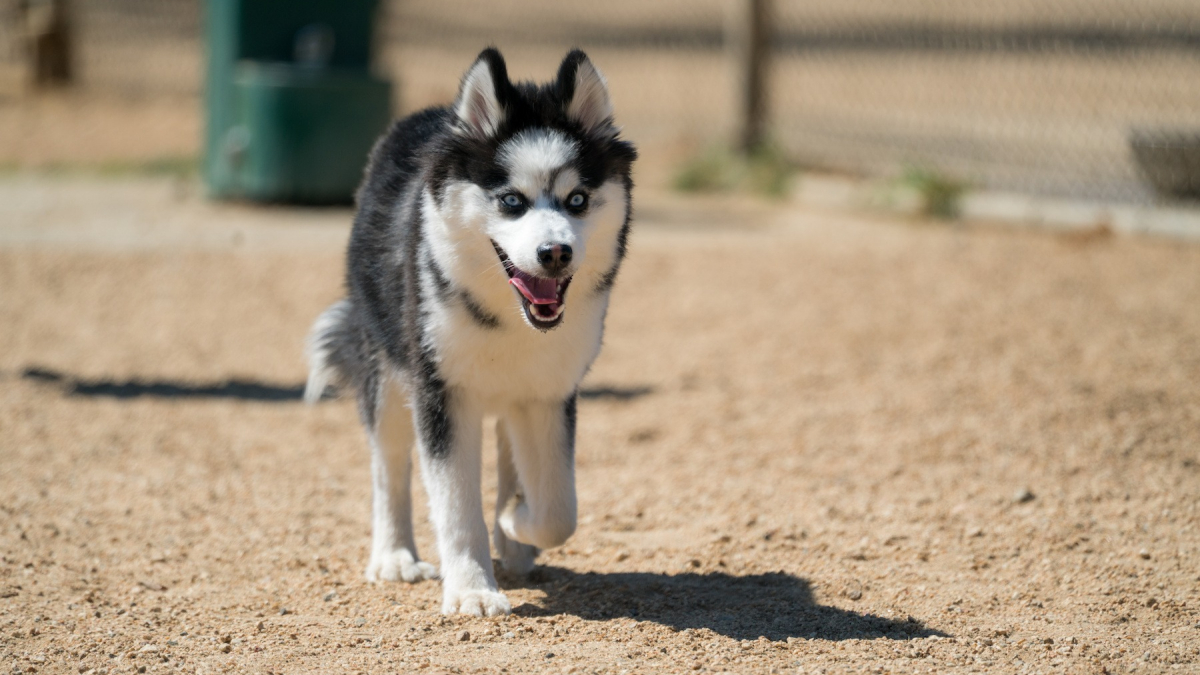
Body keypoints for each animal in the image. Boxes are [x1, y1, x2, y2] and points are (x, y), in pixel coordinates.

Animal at [304, 48, 638, 614]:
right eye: (511, 201)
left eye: (577, 200)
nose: (555, 253)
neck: (510, 319)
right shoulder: (442, 393)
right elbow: (456, 507)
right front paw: (473, 590)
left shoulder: (549, 394)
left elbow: (558, 510)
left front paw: (514, 521)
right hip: (388, 372)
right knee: (388, 466)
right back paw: (394, 556)